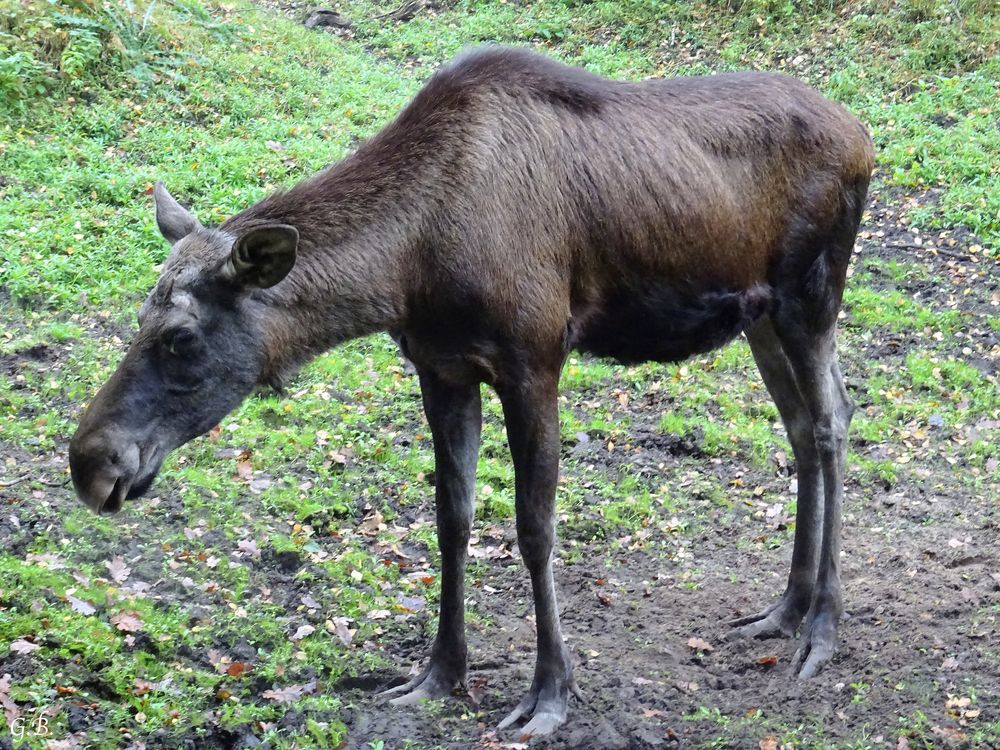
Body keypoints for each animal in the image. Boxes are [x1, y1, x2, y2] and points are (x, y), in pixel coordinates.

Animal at [68, 47, 876, 740]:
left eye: (182, 337)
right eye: (141, 315)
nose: (89, 460)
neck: (407, 270)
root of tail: (865, 137)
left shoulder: (534, 360)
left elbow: (534, 527)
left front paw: (550, 694)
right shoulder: (442, 367)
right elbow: (451, 519)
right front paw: (439, 673)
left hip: (810, 295)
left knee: (832, 420)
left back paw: (824, 628)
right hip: (758, 312)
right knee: (801, 426)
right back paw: (785, 609)